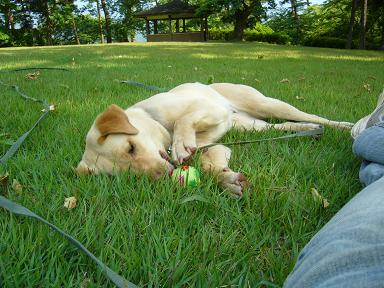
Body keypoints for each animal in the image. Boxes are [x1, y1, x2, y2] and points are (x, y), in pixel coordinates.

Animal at [76, 82, 354, 197]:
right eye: (130, 175)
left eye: (131, 147)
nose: (166, 174)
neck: (156, 122)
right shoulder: (216, 145)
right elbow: (209, 164)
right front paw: (227, 180)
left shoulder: (207, 108)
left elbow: (184, 120)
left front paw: (180, 143)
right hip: (251, 127)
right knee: (283, 126)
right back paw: (309, 129)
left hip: (266, 104)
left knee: (311, 115)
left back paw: (345, 126)